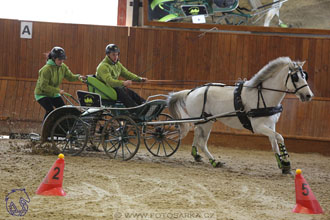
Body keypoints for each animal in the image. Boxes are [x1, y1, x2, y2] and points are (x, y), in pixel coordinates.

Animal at [169, 56, 314, 174]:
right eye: (295, 77)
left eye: (304, 75)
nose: (308, 95)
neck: (263, 95)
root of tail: (191, 91)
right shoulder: (258, 126)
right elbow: (280, 137)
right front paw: (286, 163)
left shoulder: (270, 125)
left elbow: (274, 142)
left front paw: (283, 165)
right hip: (206, 122)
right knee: (202, 142)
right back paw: (214, 161)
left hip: (203, 121)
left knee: (197, 136)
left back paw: (197, 155)